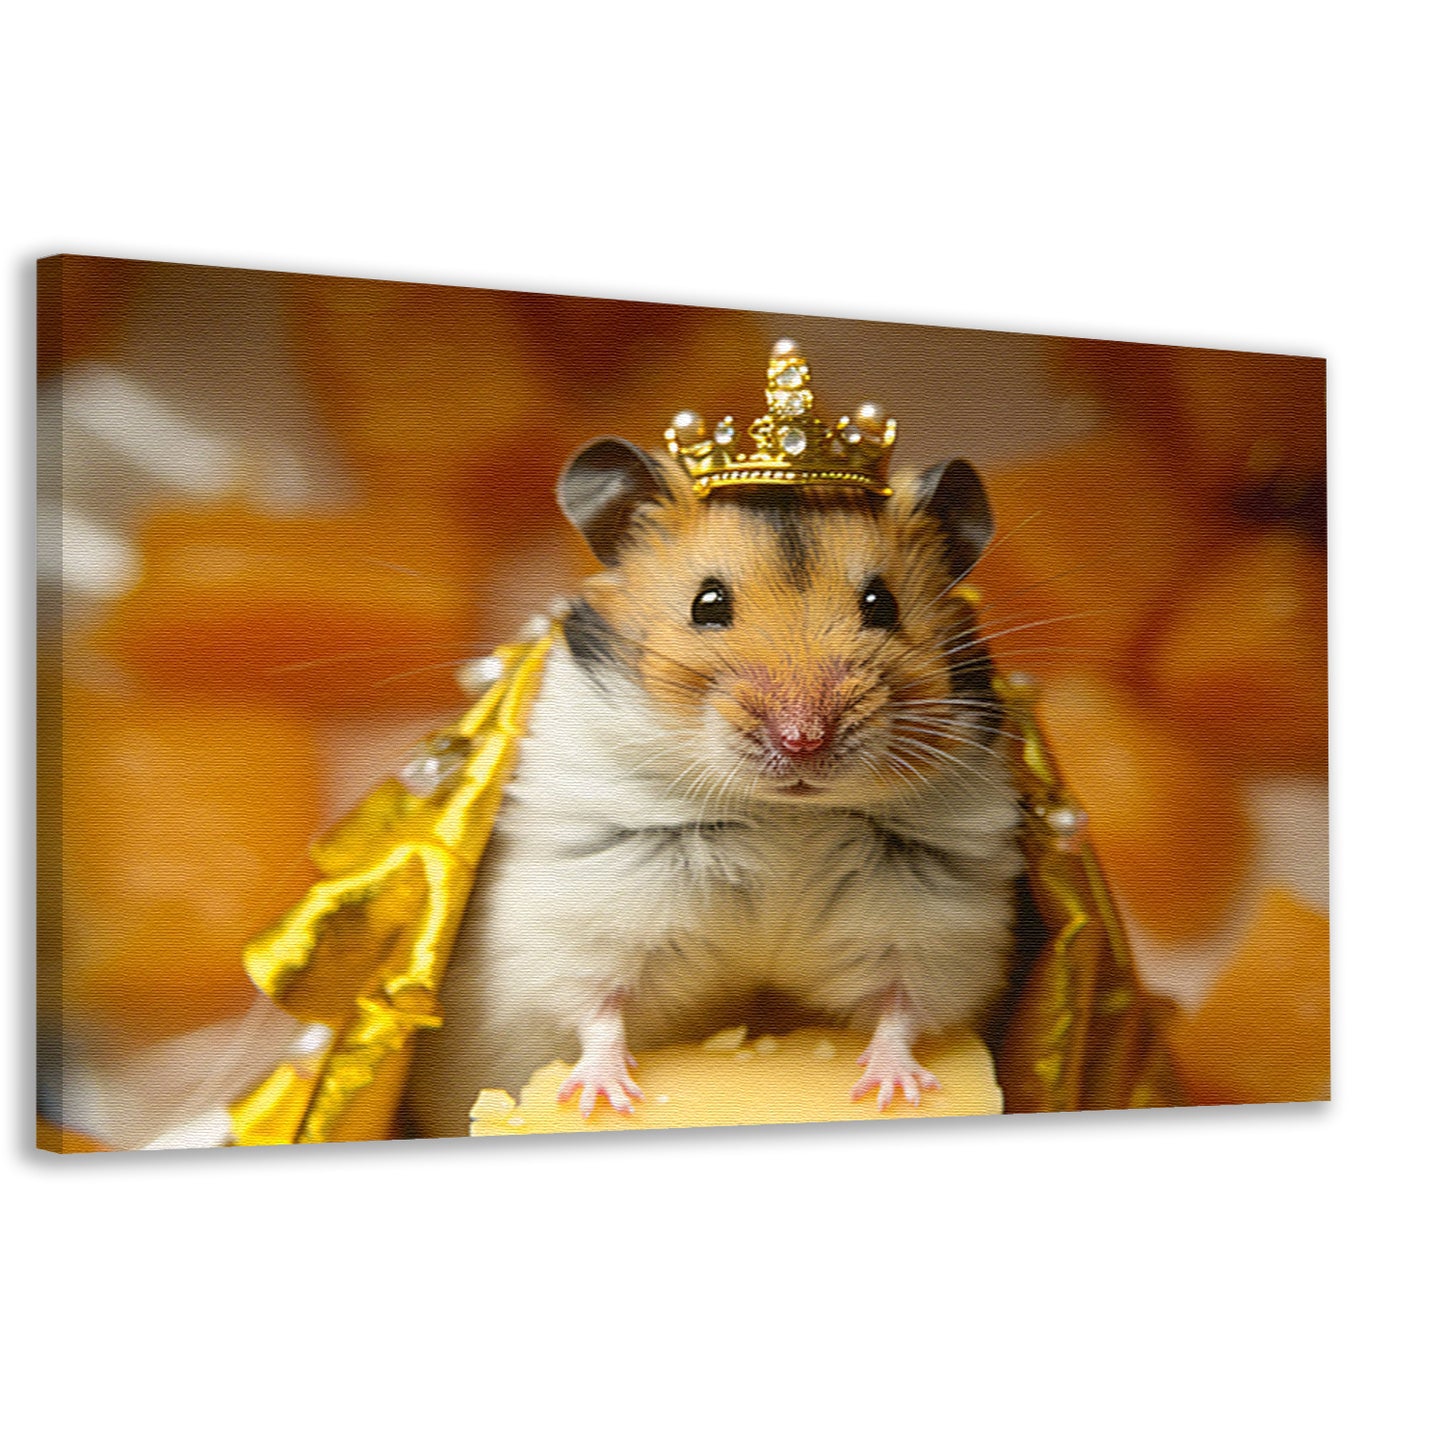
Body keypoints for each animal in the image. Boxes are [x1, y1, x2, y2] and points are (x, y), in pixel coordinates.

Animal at [408, 434, 1024, 1134]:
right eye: (708, 604)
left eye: (881, 604)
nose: (803, 740)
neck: (787, 814)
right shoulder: (585, 916)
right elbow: (598, 1011)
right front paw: (603, 1100)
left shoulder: (935, 928)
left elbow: (903, 1010)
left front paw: (894, 1092)